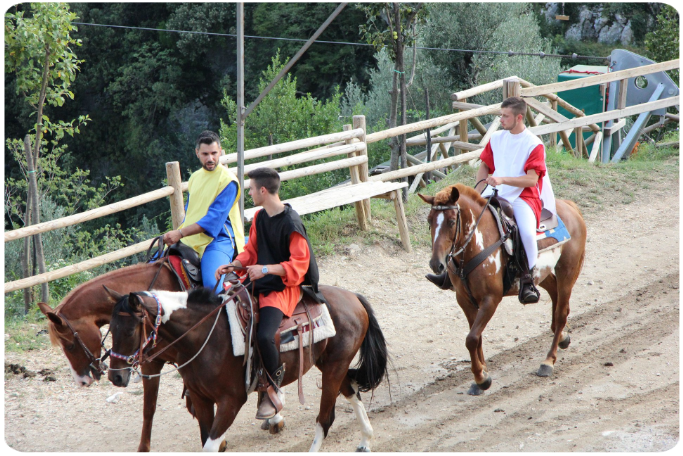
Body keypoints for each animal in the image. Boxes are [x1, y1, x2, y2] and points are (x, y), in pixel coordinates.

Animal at [105, 284, 384, 456]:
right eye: (110, 330)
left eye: (129, 331)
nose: (115, 376)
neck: (205, 336)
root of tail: (353, 297)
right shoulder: (201, 399)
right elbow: (207, 443)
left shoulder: (231, 401)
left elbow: (210, 447)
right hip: (331, 364)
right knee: (352, 391)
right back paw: (365, 443)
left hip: (335, 367)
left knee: (325, 419)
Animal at [420, 183, 584, 394]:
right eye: (429, 221)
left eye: (451, 221)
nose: (436, 264)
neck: (478, 243)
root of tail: (570, 206)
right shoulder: (465, 300)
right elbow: (476, 337)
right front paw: (482, 373)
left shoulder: (491, 299)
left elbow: (471, 338)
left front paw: (481, 378)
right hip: (540, 273)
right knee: (555, 297)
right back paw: (562, 334)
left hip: (567, 270)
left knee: (562, 311)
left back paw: (548, 361)